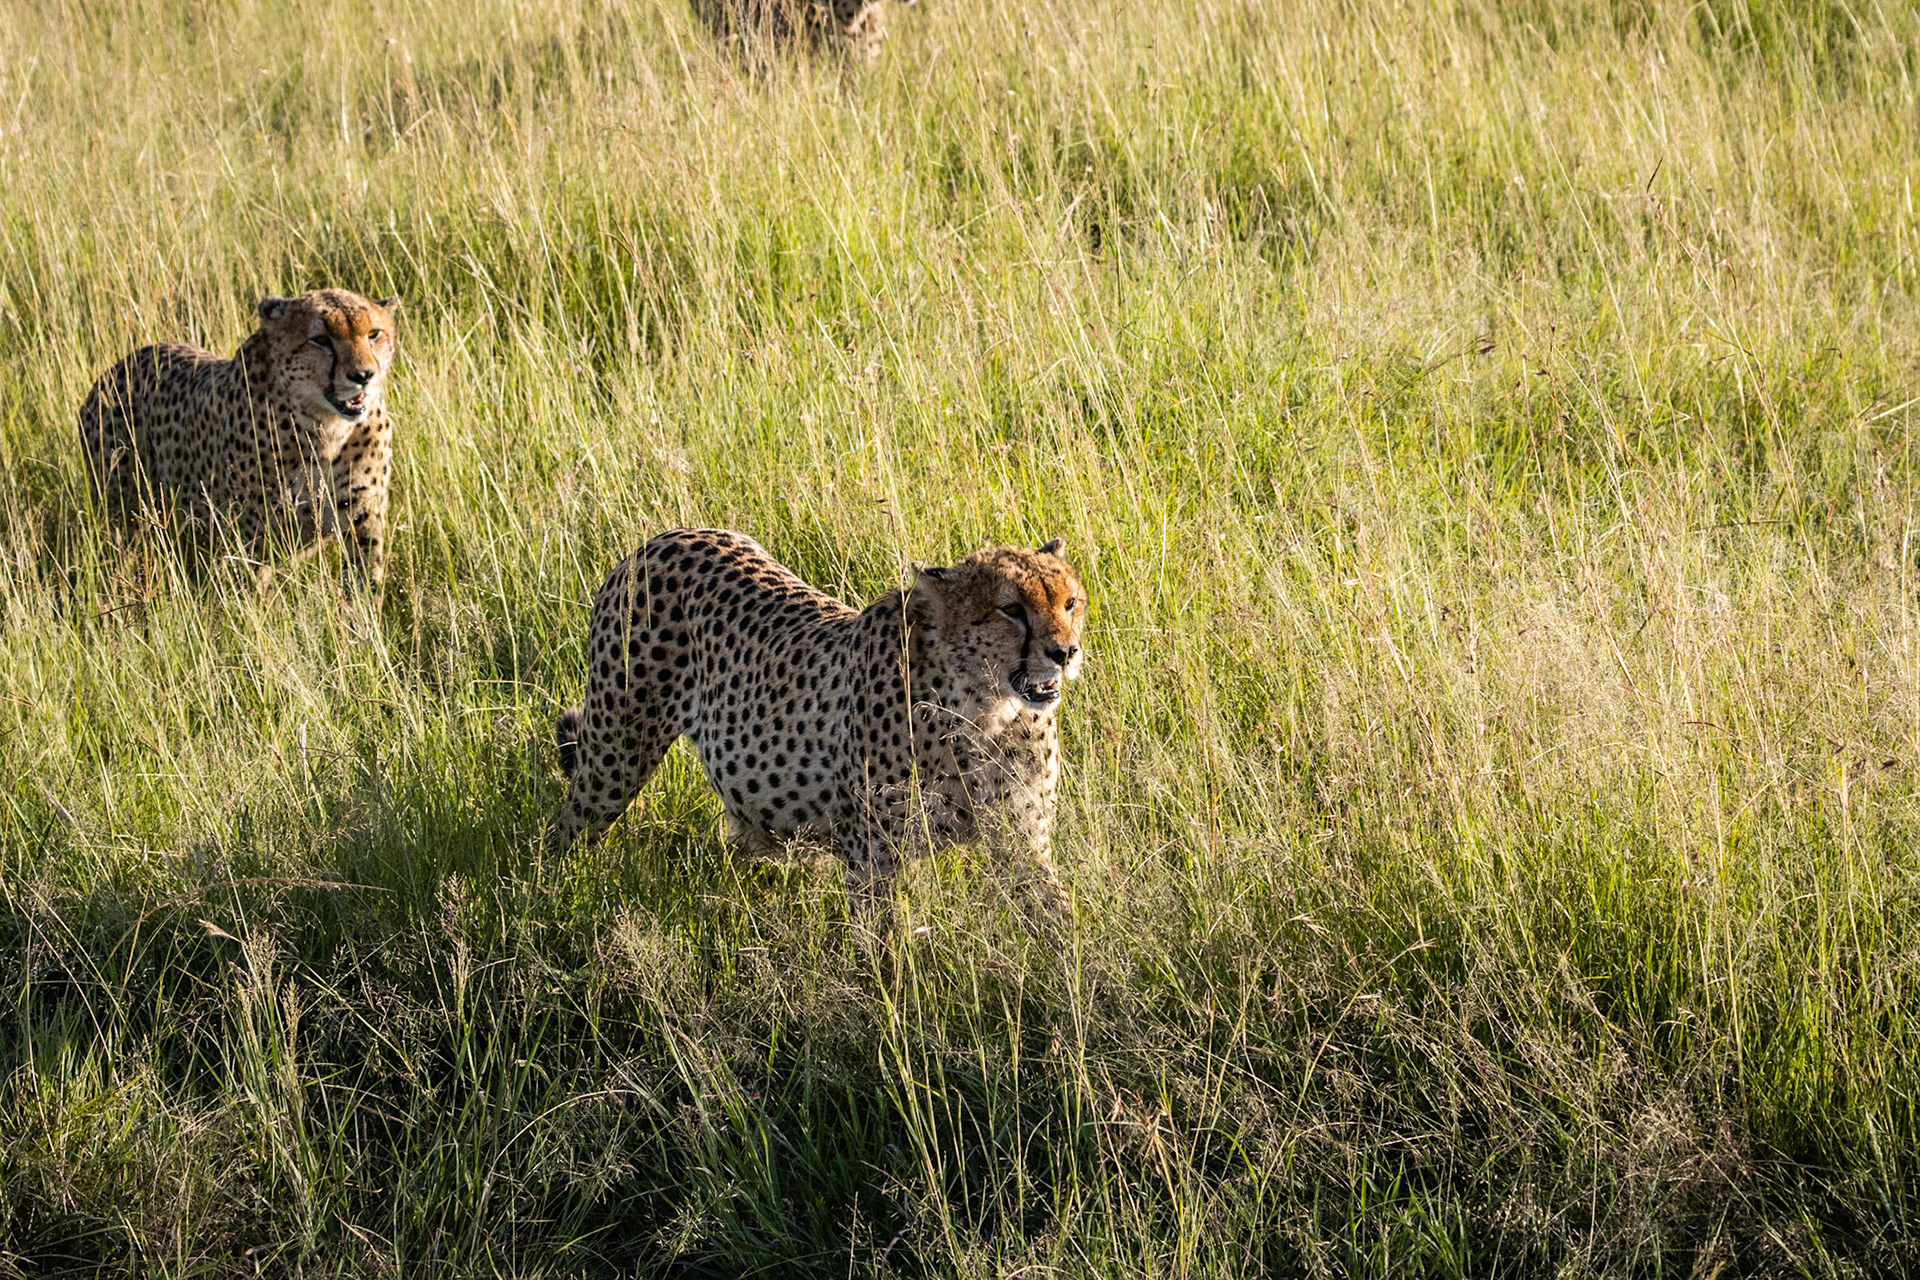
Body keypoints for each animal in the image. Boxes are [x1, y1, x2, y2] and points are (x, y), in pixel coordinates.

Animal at [78, 288, 401, 589]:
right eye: (320, 339)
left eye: (373, 334)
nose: (363, 375)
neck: (325, 429)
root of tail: (115, 368)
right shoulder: (253, 536)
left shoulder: (362, 522)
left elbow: (364, 588)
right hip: (125, 512)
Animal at [548, 528, 1088, 939]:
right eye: (1010, 609)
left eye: (1070, 602)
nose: (1065, 652)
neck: (984, 706)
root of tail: (665, 537)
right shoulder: (872, 853)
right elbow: (882, 944)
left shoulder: (1022, 837)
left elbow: (1055, 915)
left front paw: (1076, 986)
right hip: (616, 756)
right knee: (564, 829)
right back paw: (548, 901)